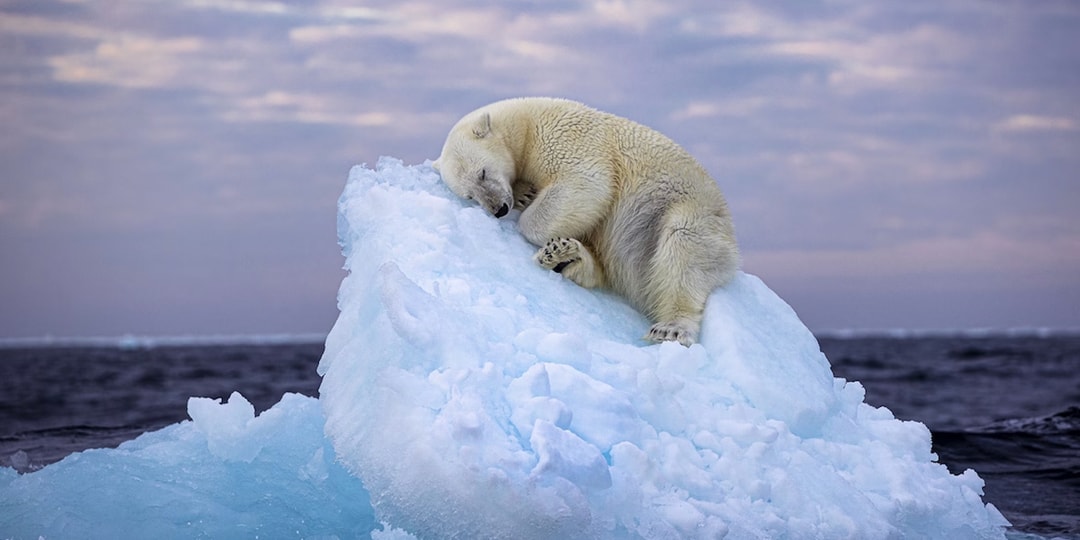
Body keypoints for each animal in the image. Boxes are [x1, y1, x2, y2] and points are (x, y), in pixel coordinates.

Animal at [434, 97, 738, 345]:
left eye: (482, 173)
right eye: (470, 195)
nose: (498, 209)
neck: (526, 124)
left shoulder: (566, 138)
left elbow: (587, 183)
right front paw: (525, 194)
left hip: (686, 211)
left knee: (683, 250)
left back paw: (671, 328)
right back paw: (566, 256)